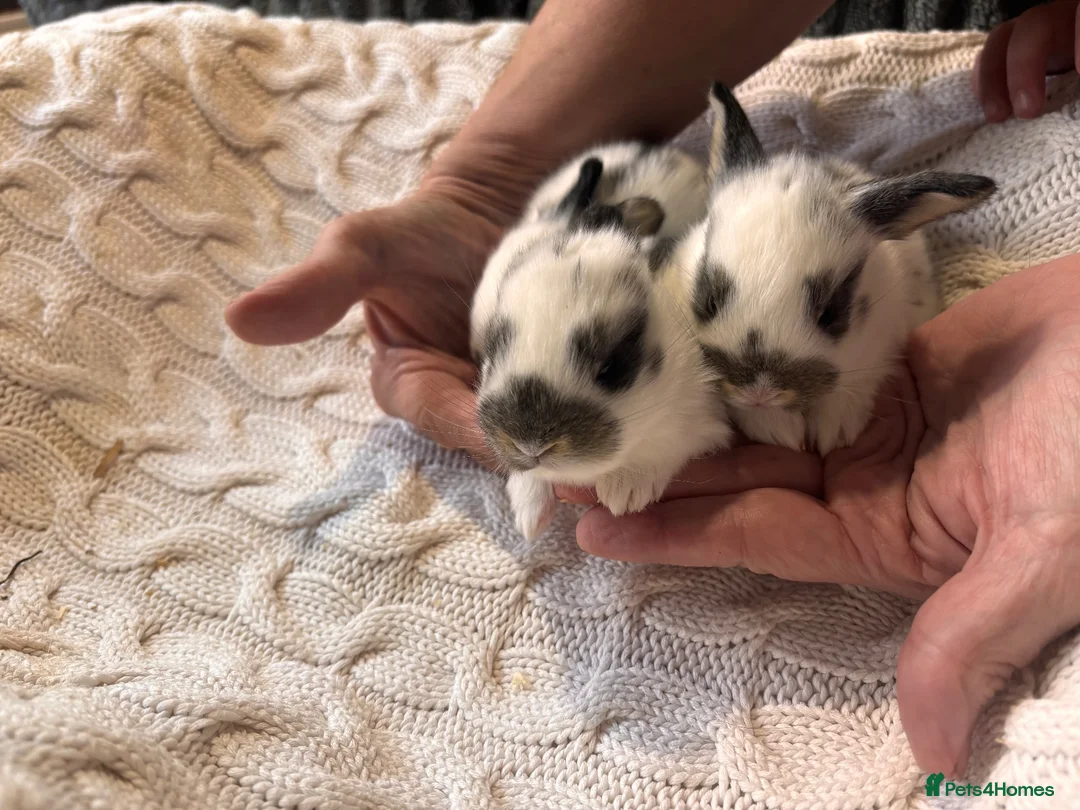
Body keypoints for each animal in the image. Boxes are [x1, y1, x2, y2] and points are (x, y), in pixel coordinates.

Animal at [470, 143, 732, 540]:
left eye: (611, 368)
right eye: (492, 352)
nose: (532, 446)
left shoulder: (702, 415)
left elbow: (667, 441)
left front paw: (624, 492)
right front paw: (531, 517)